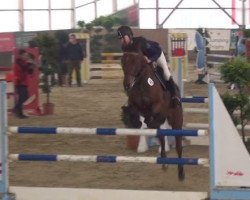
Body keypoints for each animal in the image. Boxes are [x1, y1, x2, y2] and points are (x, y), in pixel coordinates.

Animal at [121, 51, 186, 180]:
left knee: (178, 146)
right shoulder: (134, 104)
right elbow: (134, 110)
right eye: (123, 65)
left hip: (176, 120)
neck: (141, 83)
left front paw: (147, 121)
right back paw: (164, 163)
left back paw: (181, 173)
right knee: (161, 137)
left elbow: (153, 112)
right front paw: (135, 121)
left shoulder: (158, 104)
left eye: (134, 64)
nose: (127, 85)